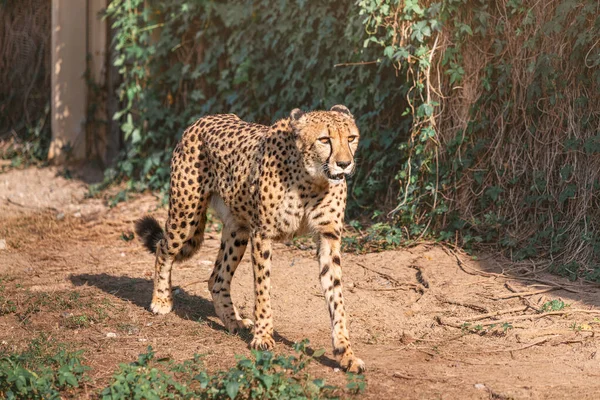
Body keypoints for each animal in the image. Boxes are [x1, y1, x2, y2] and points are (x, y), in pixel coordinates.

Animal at [134, 104, 364, 372]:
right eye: (325, 140)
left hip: (237, 229)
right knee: (164, 249)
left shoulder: (329, 237)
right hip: (186, 212)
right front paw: (263, 336)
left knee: (217, 278)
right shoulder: (262, 234)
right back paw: (161, 300)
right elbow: (262, 289)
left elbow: (336, 297)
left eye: (351, 138)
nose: (344, 164)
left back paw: (233, 321)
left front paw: (345, 353)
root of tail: (204, 119)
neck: (312, 180)